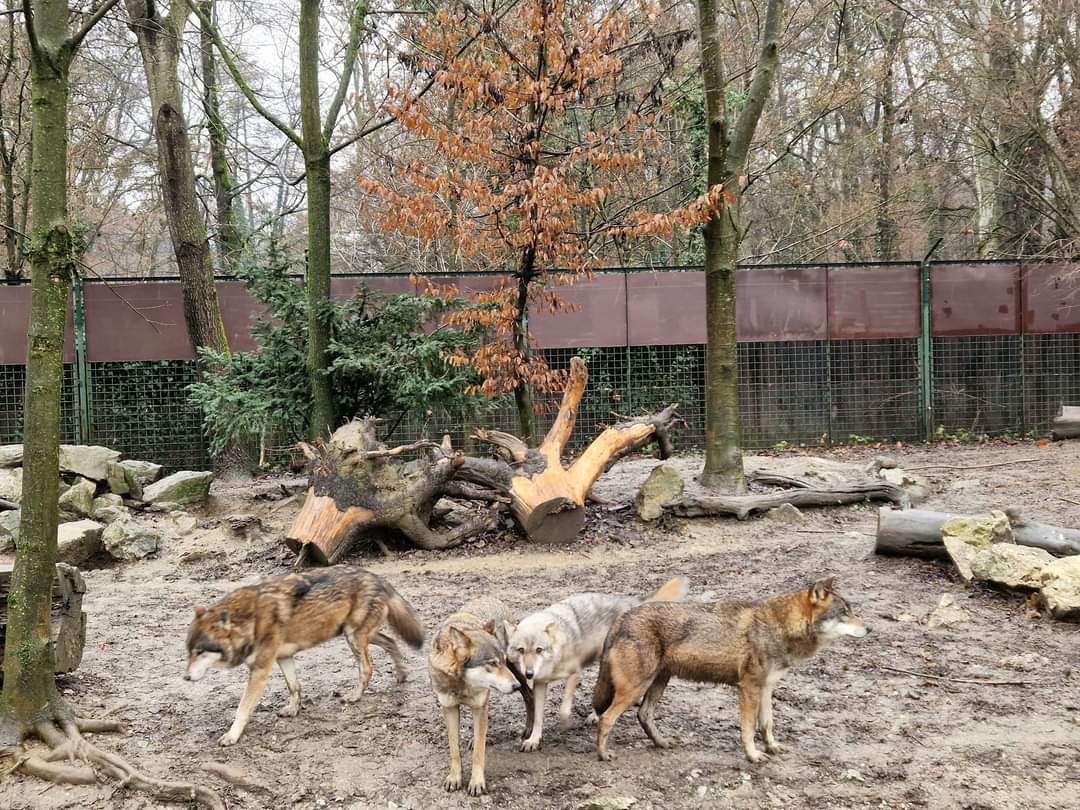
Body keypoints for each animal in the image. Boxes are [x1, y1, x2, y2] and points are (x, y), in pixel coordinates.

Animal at [184, 565, 424, 746]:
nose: (185, 678)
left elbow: (242, 708)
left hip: (353, 637)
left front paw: (231, 736)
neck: (249, 621)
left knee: (368, 667)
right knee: (392, 642)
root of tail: (378, 578)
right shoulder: (283, 658)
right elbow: (294, 687)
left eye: (199, 652)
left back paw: (355, 696)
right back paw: (401, 675)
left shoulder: (260, 670)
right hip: (359, 635)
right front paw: (293, 709)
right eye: (188, 652)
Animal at [428, 596, 534, 796]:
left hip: (518, 674)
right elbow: (454, 750)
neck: (462, 684)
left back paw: (529, 731)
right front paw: (454, 778)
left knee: (530, 696)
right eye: (492, 663)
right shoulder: (449, 708)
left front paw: (477, 782)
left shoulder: (479, 705)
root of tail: (490, 597)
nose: (514, 686)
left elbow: (479, 752)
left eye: (501, 661)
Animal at [506, 576, 687, 752]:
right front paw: (533, 740)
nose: (529, 674)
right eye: (521, 650)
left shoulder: (575, 672)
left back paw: (595, 715)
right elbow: (538, 717)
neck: (556, 652)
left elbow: (564, 710)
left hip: (605, 663)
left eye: (539, 650)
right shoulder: (540, 683)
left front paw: (566, 724)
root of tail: (626, 601)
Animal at [592, 578, 867, 763]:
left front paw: (772, 747)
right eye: (844, 613)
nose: (869, 629)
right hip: (635, 689)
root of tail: (622, 618)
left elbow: (767, 724)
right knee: (606, 718)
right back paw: (603, 754)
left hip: (659, 682)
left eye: (851, 611)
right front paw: (753, 756)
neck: (779, 626)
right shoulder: (748, 688)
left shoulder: (766, 688)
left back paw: (662, 743)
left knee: (644, 715)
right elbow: (748, 728)